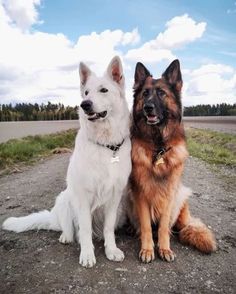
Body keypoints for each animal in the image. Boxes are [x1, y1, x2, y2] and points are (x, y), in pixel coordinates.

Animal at [2, 55, 131, 268]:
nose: (85, 104)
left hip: (120, 210)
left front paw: (111, 250)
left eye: (104, 90)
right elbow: (84, 229)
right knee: (72, 230)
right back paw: (65, 236)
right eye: (86, 92)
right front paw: (87, 254)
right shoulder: (84, 197)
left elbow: (108, 228)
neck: (104, 144)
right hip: (64, 199)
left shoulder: (114, 198)